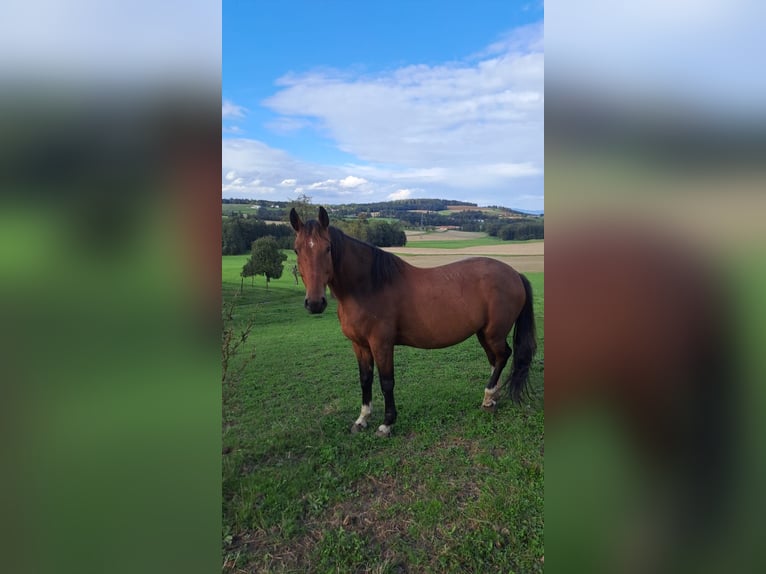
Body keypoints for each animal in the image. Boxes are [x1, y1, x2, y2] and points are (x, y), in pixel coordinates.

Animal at [292, 206, 536, 436]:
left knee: (503, 356)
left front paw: (387, 424)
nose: (315, 303)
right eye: (297, 249)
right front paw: (362, 419)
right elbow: (365, 379)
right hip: (483, 333)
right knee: (495, 360)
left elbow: (386, 382)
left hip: (494, 333)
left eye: (328, 248)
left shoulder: (381, 344)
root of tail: (515, 274)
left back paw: (488, 395)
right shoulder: (359, 345)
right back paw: (491, 398)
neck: (369, 286)